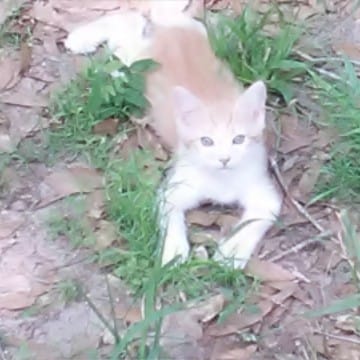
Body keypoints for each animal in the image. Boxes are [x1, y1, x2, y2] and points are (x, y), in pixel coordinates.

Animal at [66, 6, 282, 270]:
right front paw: (175, 250)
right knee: (129, 23)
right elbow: (171, 217)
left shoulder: (265, 193)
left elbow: (257, 220)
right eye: (206, 141)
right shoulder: (173, 190)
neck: (221, 179)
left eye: (238, 139)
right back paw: (82, 39)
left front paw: (233, 251)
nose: (224, 159)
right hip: (138, 61)